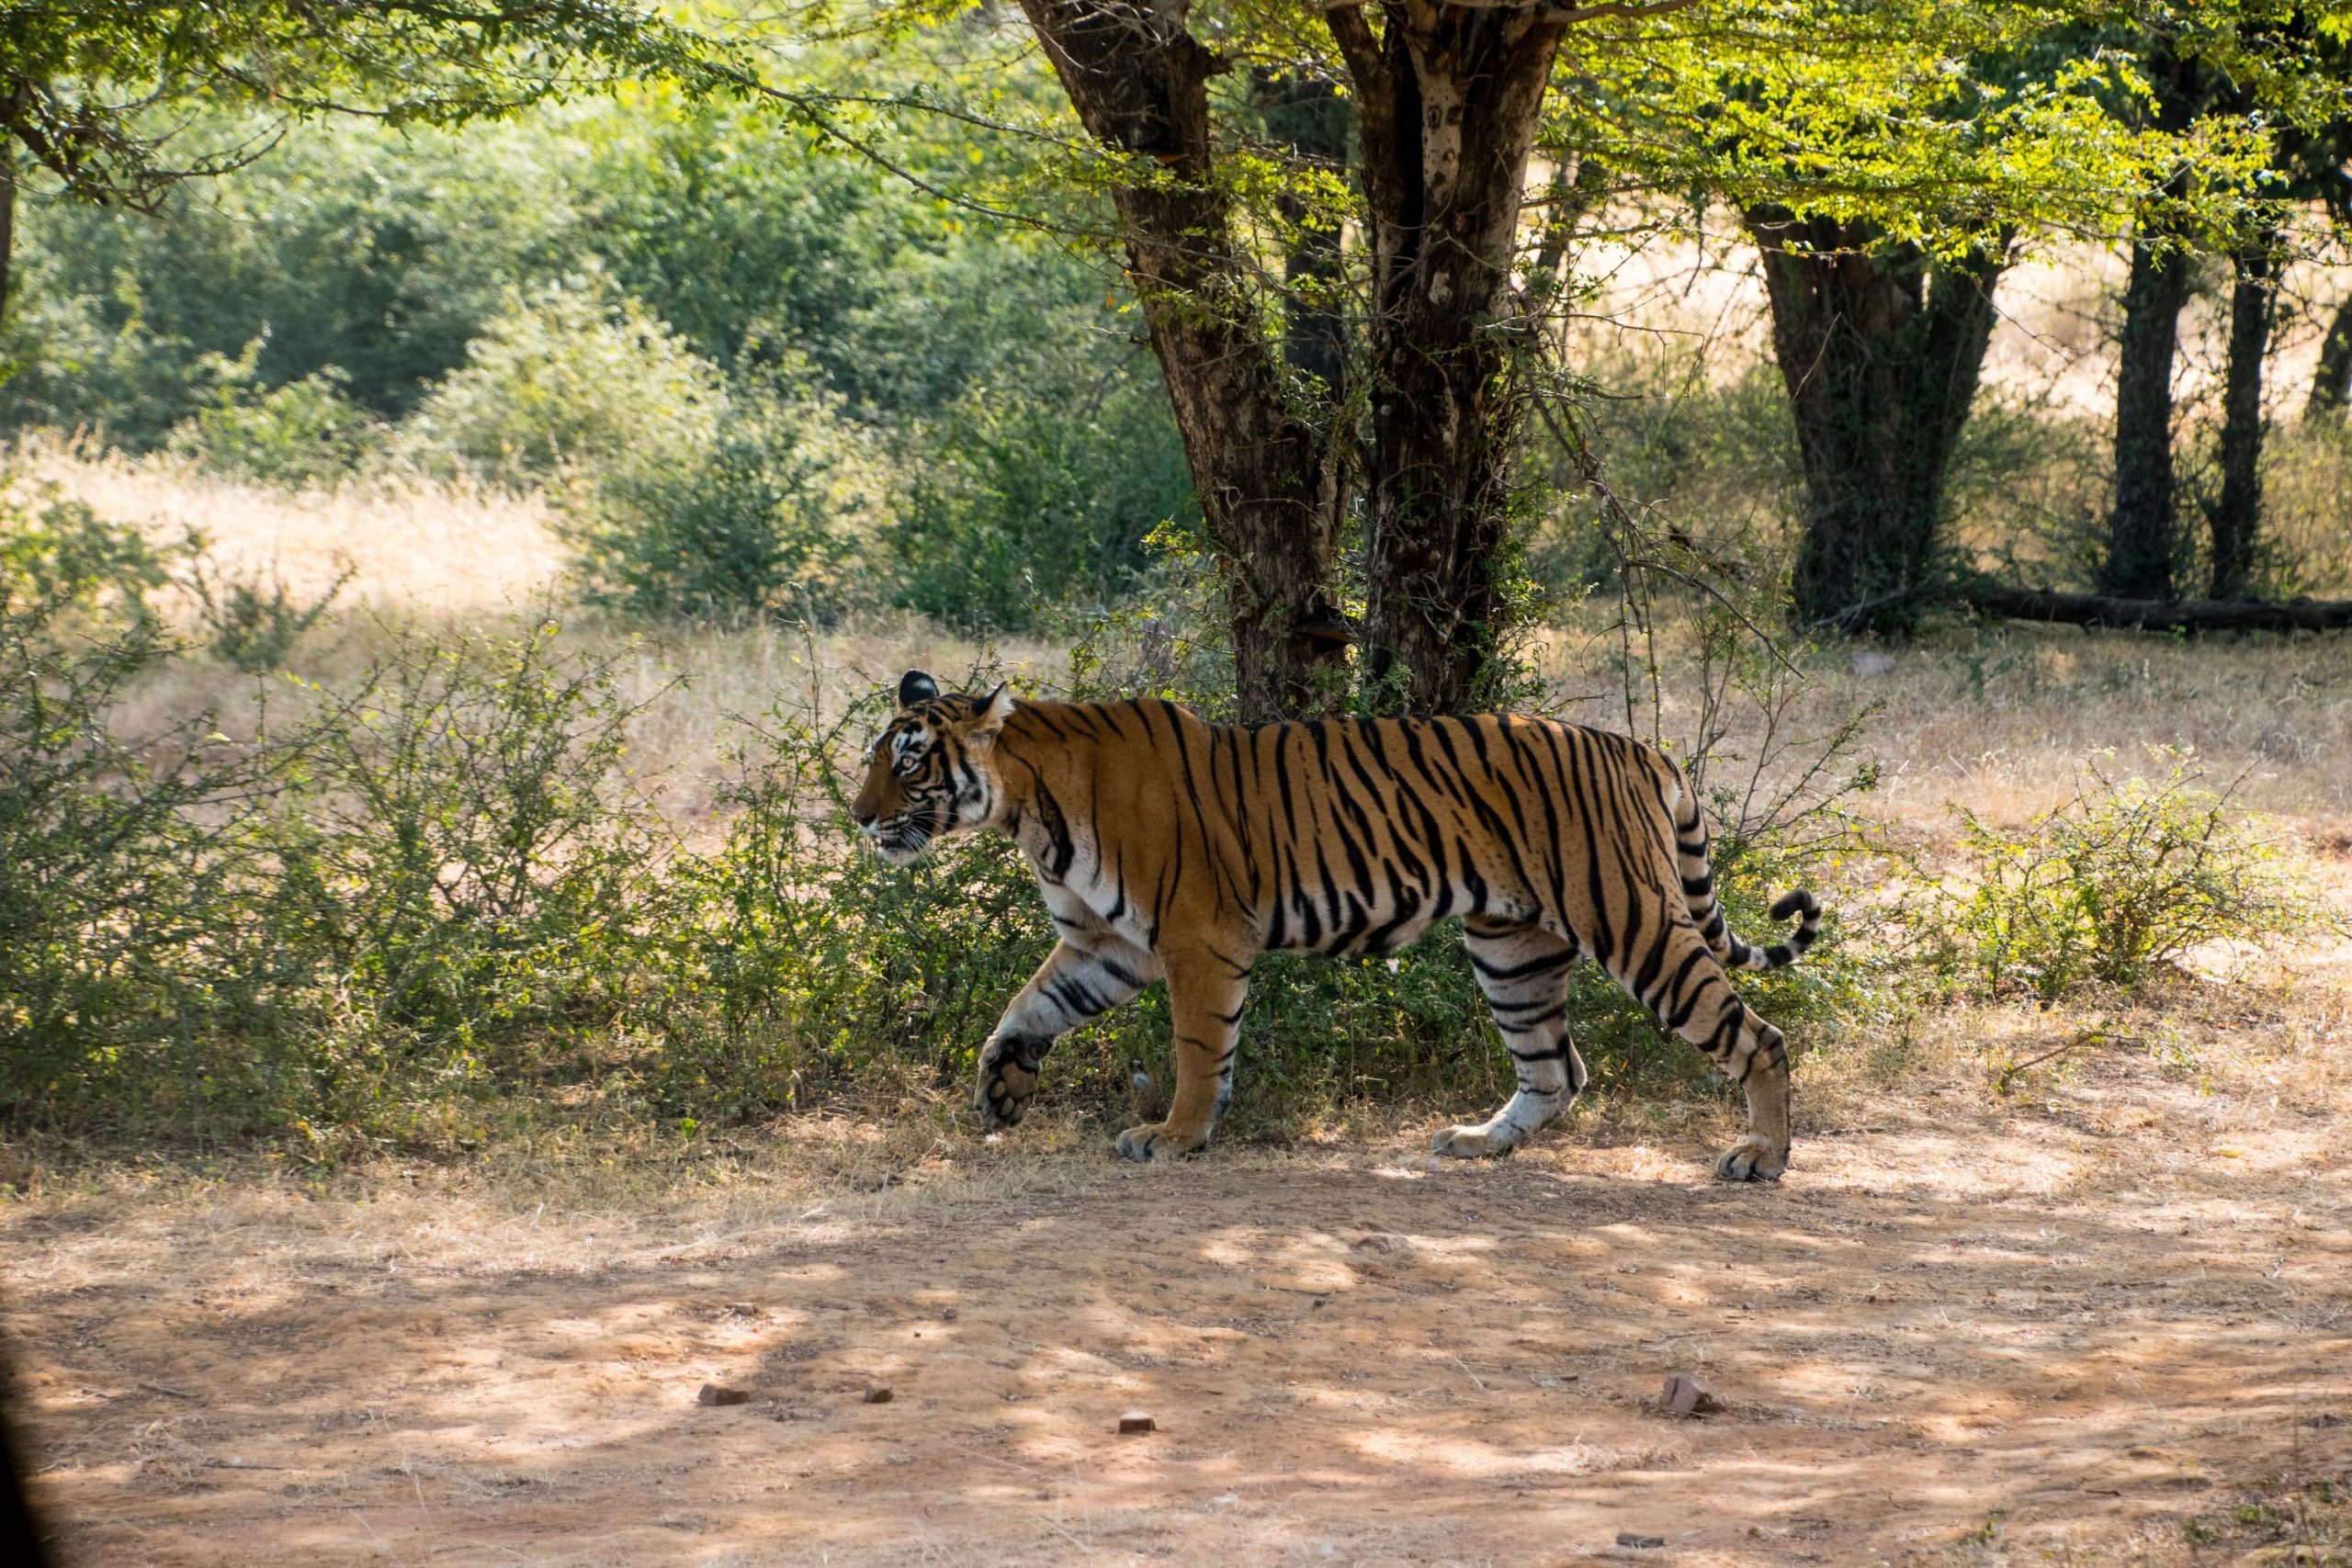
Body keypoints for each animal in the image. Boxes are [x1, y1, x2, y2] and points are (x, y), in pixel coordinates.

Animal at [850, 670, 1823, 1181]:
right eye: (873, 761)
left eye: (910, 763)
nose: (859, 818)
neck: (1027, 808)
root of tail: (1638, 748)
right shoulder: (1106, 944)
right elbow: (1025, 1009)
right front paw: (1001, 1091)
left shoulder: (1195, 938)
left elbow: (1199, 1050)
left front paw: (1176, 1136)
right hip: (1510, 946)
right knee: (1557, 1067)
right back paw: (1478, 1141)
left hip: (1632, 921)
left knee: (1758, 1035)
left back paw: (1762, 1155)